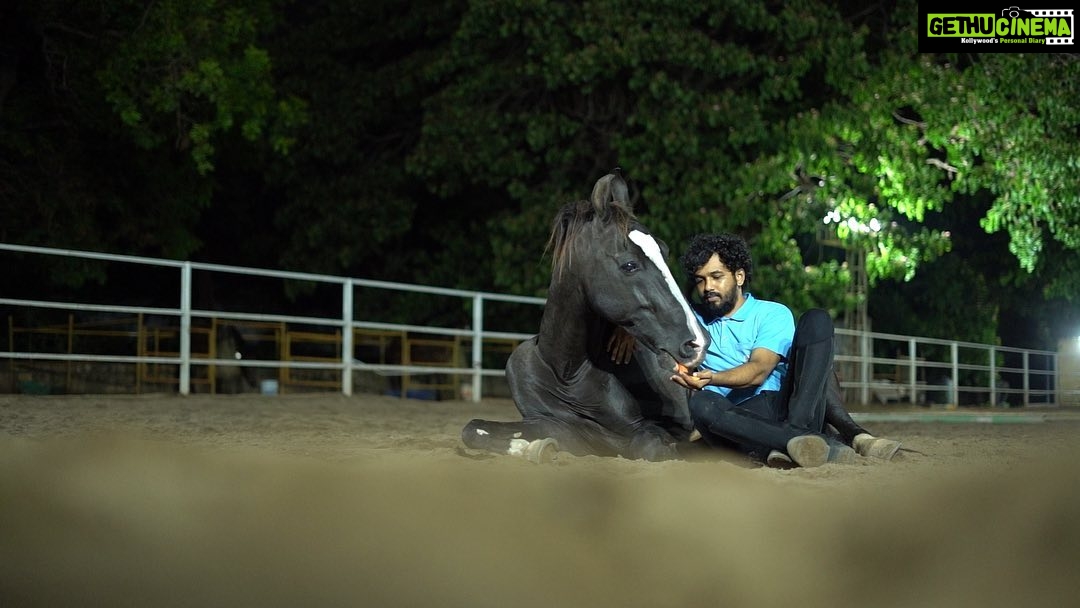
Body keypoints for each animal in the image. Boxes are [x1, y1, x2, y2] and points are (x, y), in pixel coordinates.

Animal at [461, 171, 709, 462]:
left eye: (665, 251)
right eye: (629, 265)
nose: (697, 342)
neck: (567, 372)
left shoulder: (648, 429)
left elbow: (652, 447)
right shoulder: (554, 424)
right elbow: (473, 429)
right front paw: (531, 448)